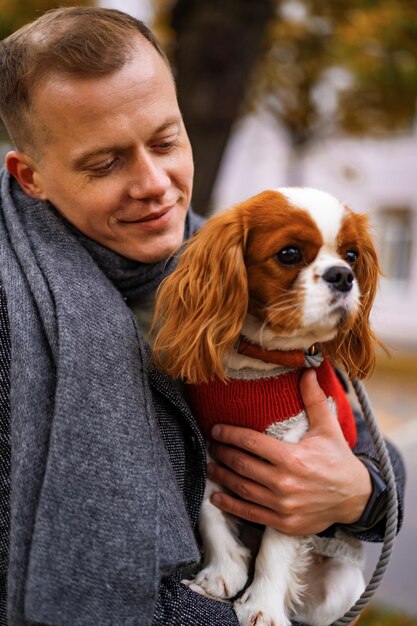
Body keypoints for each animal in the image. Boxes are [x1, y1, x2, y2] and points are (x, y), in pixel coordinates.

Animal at [150, 186, 380, 624]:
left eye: (352, 255)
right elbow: (209, 510)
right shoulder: (211, 439)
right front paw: (220, 575)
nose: (343, 275)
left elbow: (277, 545)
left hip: (343, 587)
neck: (261, 364)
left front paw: (263, 606)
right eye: (289, 254)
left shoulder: (296, 470)